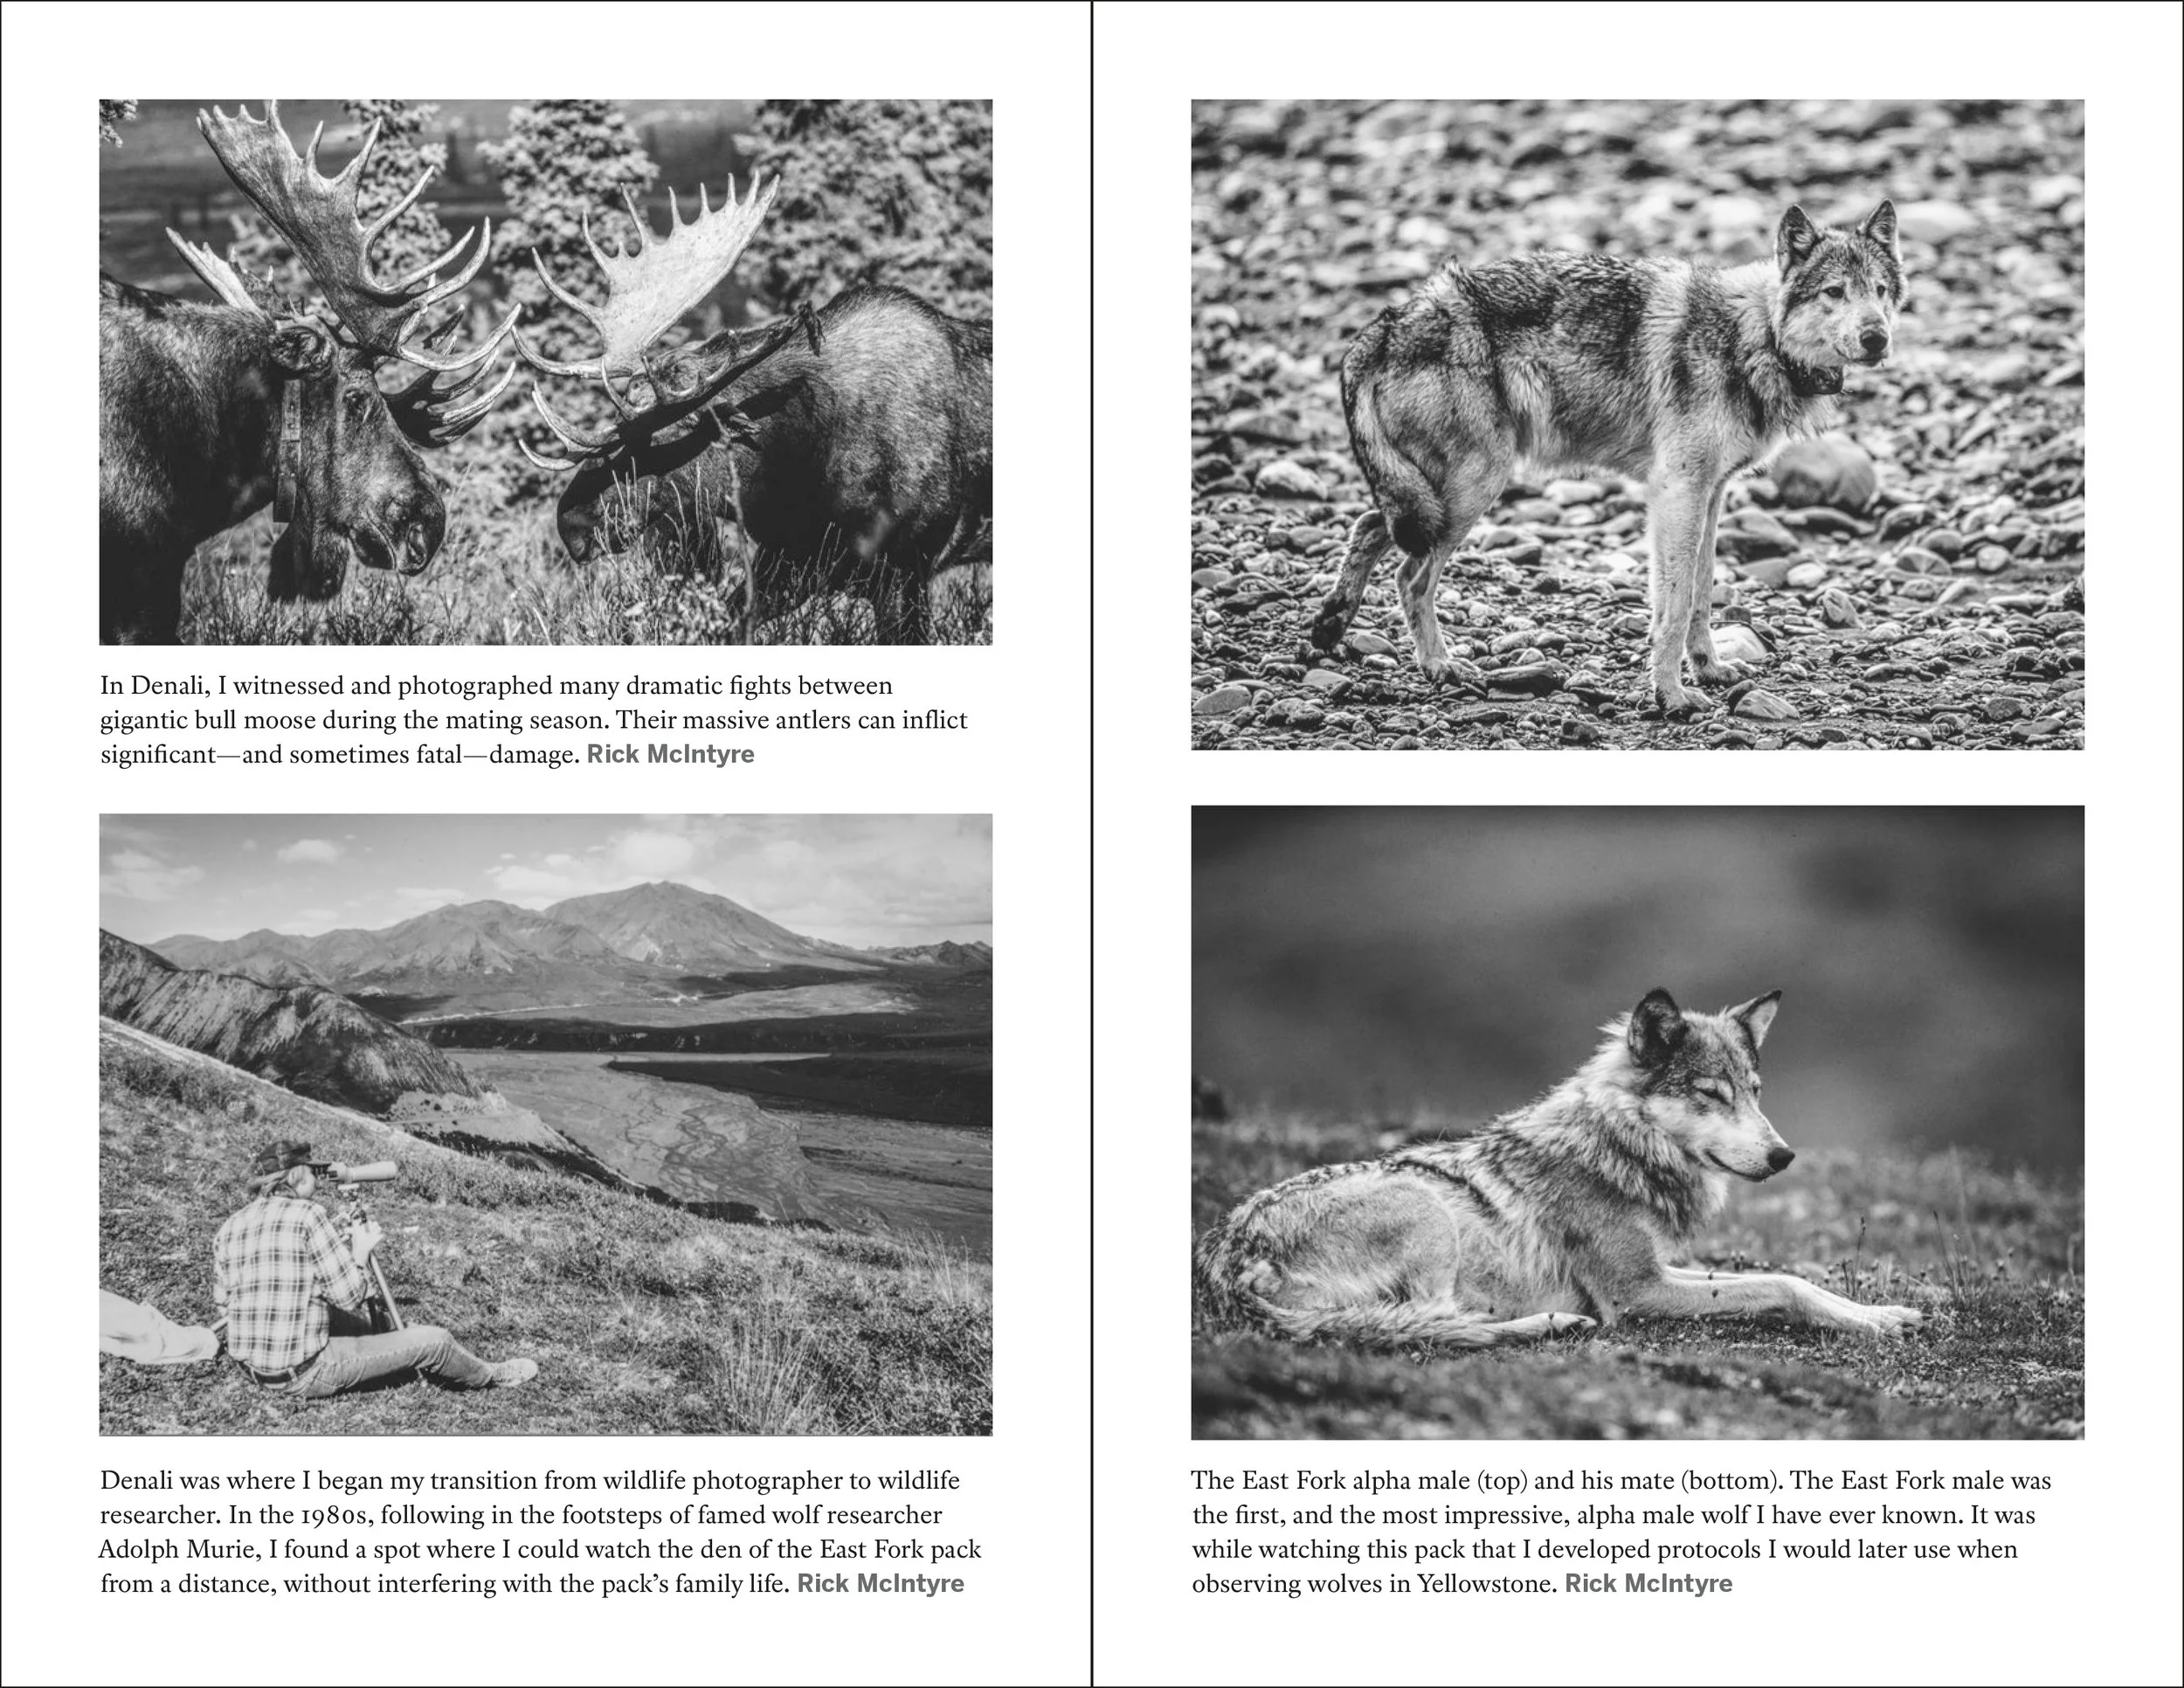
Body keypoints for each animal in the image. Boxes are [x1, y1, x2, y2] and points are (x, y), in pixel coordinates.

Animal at [1193, 988, 1924, 1347]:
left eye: (1755, 1092)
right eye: (1712, 1095)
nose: (1783, 1155)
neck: (1623, 1147)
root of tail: (1225, 1272)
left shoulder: (1659, 1268)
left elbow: (1791, 1278)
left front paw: (1883, 1314)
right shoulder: (1636, 1293)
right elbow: (1777, 1285)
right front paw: (1873, 1322)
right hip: (1427, 1214)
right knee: (1436, 1322)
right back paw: (1550, 1324)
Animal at [1311, 202, 1904, 716]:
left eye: (1879, 292)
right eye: (1834, 292)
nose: (1877, 338)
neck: (1755, 335)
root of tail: (1387, 324)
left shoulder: (1710, 495)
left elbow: (1702, 593)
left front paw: (1709, 670)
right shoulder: (1678, 490)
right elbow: (1676, 604)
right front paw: (1672, 696)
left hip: (1436, 497)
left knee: (1369, 525)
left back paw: (1330, 627)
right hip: (1471, 490)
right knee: (1409, 574)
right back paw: (1439, 666)